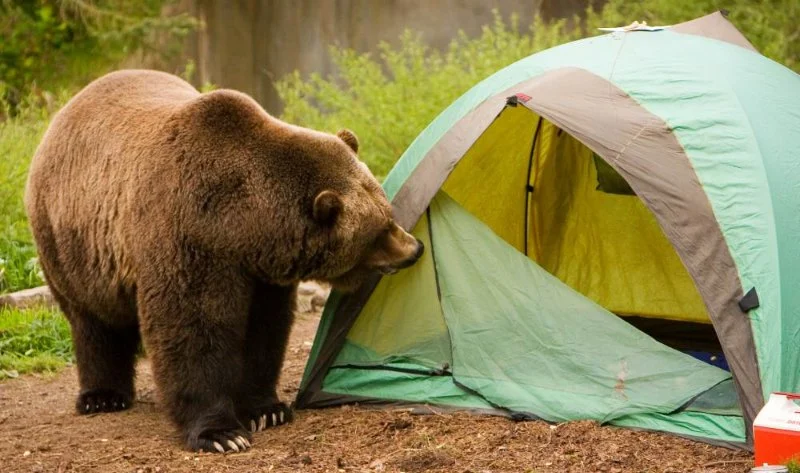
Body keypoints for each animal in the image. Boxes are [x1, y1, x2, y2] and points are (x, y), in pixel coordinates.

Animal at [24, 69, 424, 453]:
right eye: (379, 230)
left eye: (387, 211)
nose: (415, 248)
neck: (243, 224)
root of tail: (67, 109)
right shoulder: (188, 236)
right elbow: (194, 328)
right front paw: (221, 432)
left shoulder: (261, 271)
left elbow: (264, 330)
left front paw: (267, 409)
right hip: (72, 244)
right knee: (93, 321)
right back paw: (102, 396)